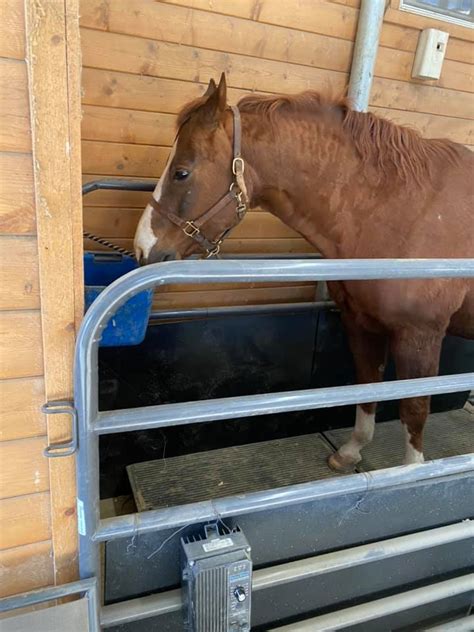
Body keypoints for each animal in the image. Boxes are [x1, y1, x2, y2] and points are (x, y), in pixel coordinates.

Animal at [134, 73, 474, 470]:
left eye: (182, 172)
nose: (142, 249)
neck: (402, 209)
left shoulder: (420, 334)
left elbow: (414, 408)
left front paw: (412, 473)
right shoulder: (361, 324)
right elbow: (367, 389)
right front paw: (351, 452)